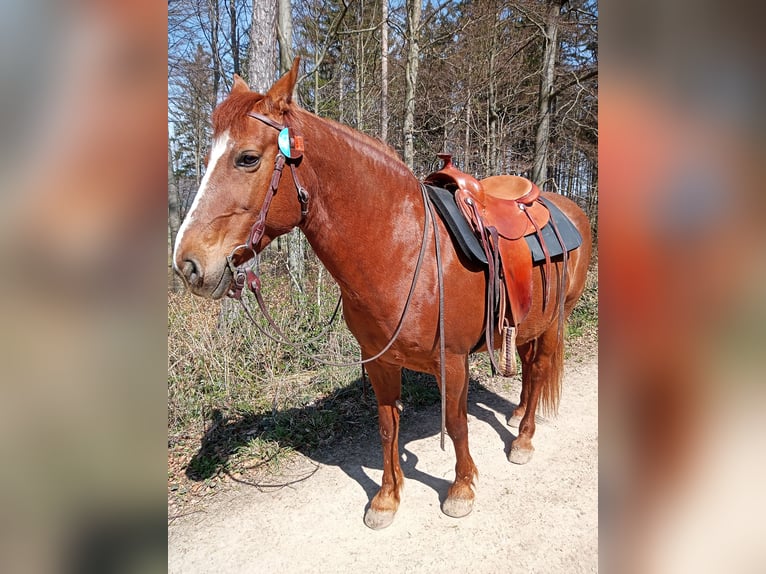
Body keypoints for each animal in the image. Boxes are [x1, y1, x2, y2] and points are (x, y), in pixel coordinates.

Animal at [173, 60, 592, 529]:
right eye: (205, 160)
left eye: (247, 158)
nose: (187, 264)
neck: (402, 251)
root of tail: (568, 208)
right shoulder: (379, 361)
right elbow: (388, 426)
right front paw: (387, 498)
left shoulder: (452, 361)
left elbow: (456, 423)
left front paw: (461, 488)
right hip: (524, 324)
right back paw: (517, 414)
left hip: (556, 320)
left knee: (537, 371)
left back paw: (523, 439)